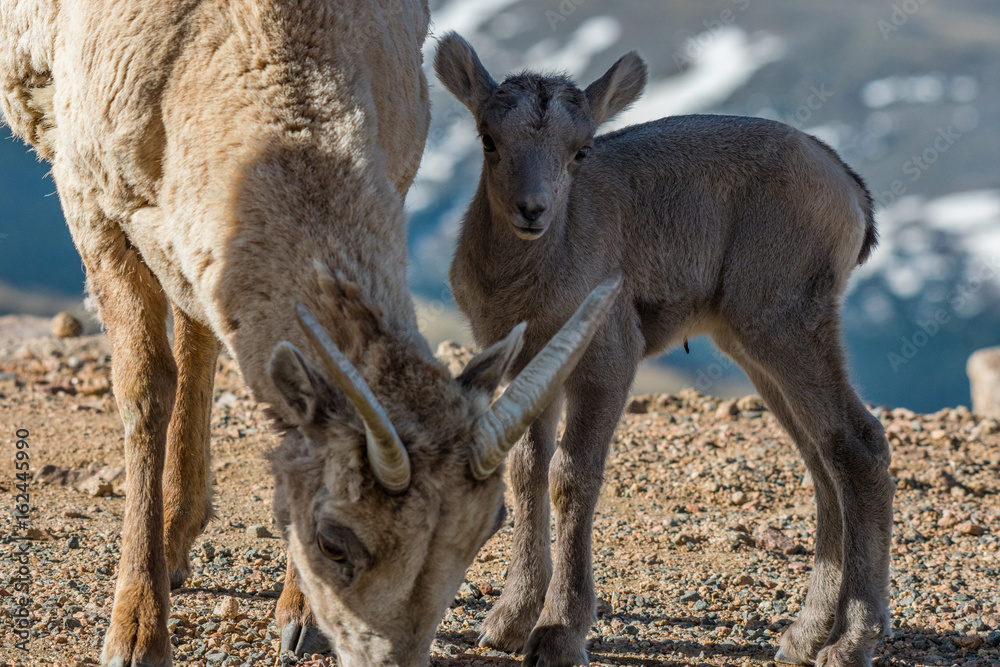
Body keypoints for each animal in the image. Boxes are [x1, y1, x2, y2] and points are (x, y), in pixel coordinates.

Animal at [0, 3, 622, 666]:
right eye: (333, 542)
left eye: (486, 530)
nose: (394, 658)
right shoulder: (92, 201)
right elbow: (145, 391)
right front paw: (136, 631)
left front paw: (300, 620)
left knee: (198, 324)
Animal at [436, 32, 893, 667]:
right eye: (488, 139)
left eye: (580, 151)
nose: (533, 209)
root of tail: (850, 192)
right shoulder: (527, 368)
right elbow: (526, 470)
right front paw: (507, 622)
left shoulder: (607, 360)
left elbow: (571, 475)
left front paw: (557, 633)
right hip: (754, 346)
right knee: (822, 461)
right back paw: (803, 637)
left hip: (787, 325)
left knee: (859, 446)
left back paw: (848, 643)